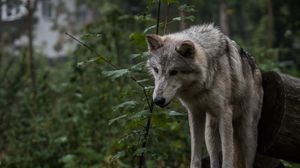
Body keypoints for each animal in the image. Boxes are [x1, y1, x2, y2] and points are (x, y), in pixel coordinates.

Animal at [145, 23, 262, 168]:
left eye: (174, 72)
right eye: (156, 70)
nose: (158, 100)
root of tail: (256, 67)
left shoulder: (225, 114)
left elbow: (227, 158)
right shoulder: (195, 113)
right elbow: (195, 157)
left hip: (248, 135)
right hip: (210, 133)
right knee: (214, 160)